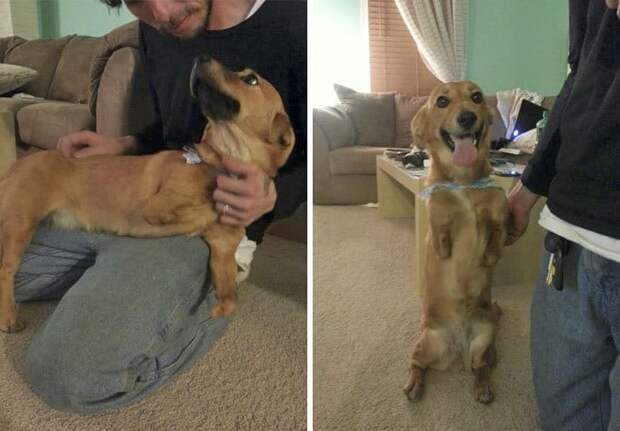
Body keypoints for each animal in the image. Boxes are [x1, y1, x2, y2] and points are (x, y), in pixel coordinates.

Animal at [0, 55, 294, 334]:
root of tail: (15, 167)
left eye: (251, 79)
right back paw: (9, 317)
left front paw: (217, 308)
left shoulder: (222, 248)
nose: (200, 57)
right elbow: (185, 213)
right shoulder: (156, 207)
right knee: (5, 270)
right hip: (20, 225)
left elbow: (230, 298)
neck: (222, 162)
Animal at [402, 80, 508, 404]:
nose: (467, 117)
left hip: (486, 338)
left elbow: (496, 230)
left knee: (483, 366)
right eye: (442, 102)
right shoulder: (437, 214)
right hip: (427, 341)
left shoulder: (497, 213)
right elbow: (439, 226)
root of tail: (458, 352)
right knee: (416, 363)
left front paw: (490, 256)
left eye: (476, 97)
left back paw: (484, 387)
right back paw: (414, 385)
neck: (464, 183)